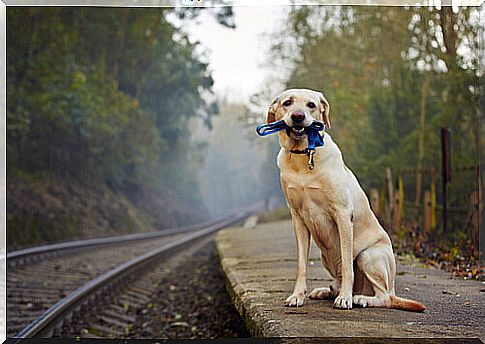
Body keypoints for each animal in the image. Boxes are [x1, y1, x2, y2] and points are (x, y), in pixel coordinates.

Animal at [270, 88, 426, 312]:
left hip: (368, 256)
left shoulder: (343, 214)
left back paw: (360, 298)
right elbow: (301, 265)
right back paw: (327, 291)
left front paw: (345, 298)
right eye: (287, 103)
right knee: (340, 282)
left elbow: (346, 264)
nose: (298, 116)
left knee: (384, 296)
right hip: (326, 256)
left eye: (311, 105)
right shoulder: (298, 218)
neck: (303, 155)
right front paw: (297, 296)